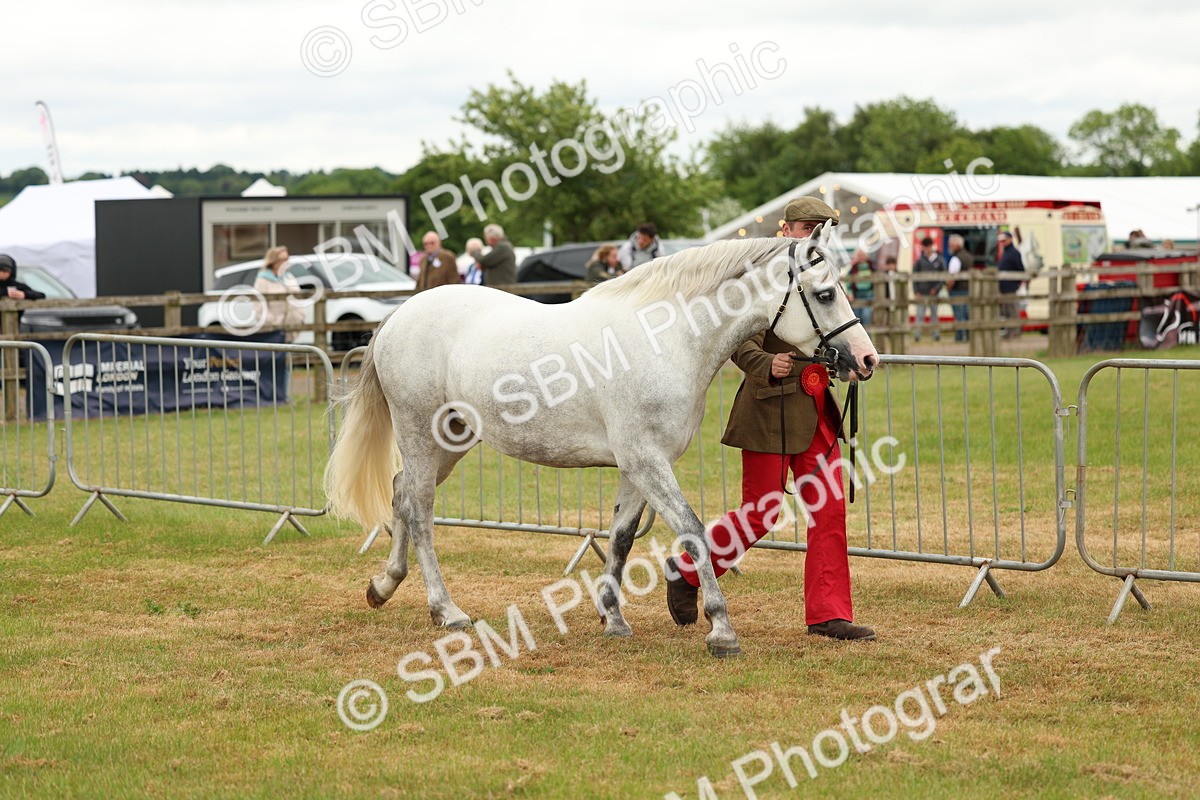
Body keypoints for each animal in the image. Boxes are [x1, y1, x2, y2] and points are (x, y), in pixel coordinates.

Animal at [323, 223, 878, 658]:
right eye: (826, 294)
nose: (867, 360)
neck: (667, 339)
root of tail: (400, 315)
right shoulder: (648, 461)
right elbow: (694, 532)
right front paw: (721, 630)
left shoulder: (637, 467)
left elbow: (621, 538)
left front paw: (613, 619)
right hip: (420, 431)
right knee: (419, 509)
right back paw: (447, 610)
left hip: (452, 440)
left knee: (401, 492)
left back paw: (383, 586)